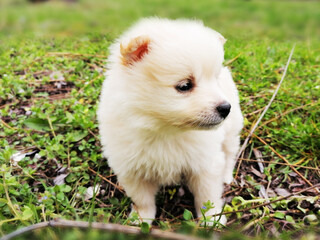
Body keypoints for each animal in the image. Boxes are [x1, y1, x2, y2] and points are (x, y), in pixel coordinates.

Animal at [97, 17, 242, 225]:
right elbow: (142, 199)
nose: (225, 108)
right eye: (185, 85)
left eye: (215, 80)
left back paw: (227, 176)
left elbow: (207, 196)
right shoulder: (130, 168)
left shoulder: (205, 163)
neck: (165, 129)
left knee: (230, 153)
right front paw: (141, 219)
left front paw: (211, 219)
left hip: (232, 129)